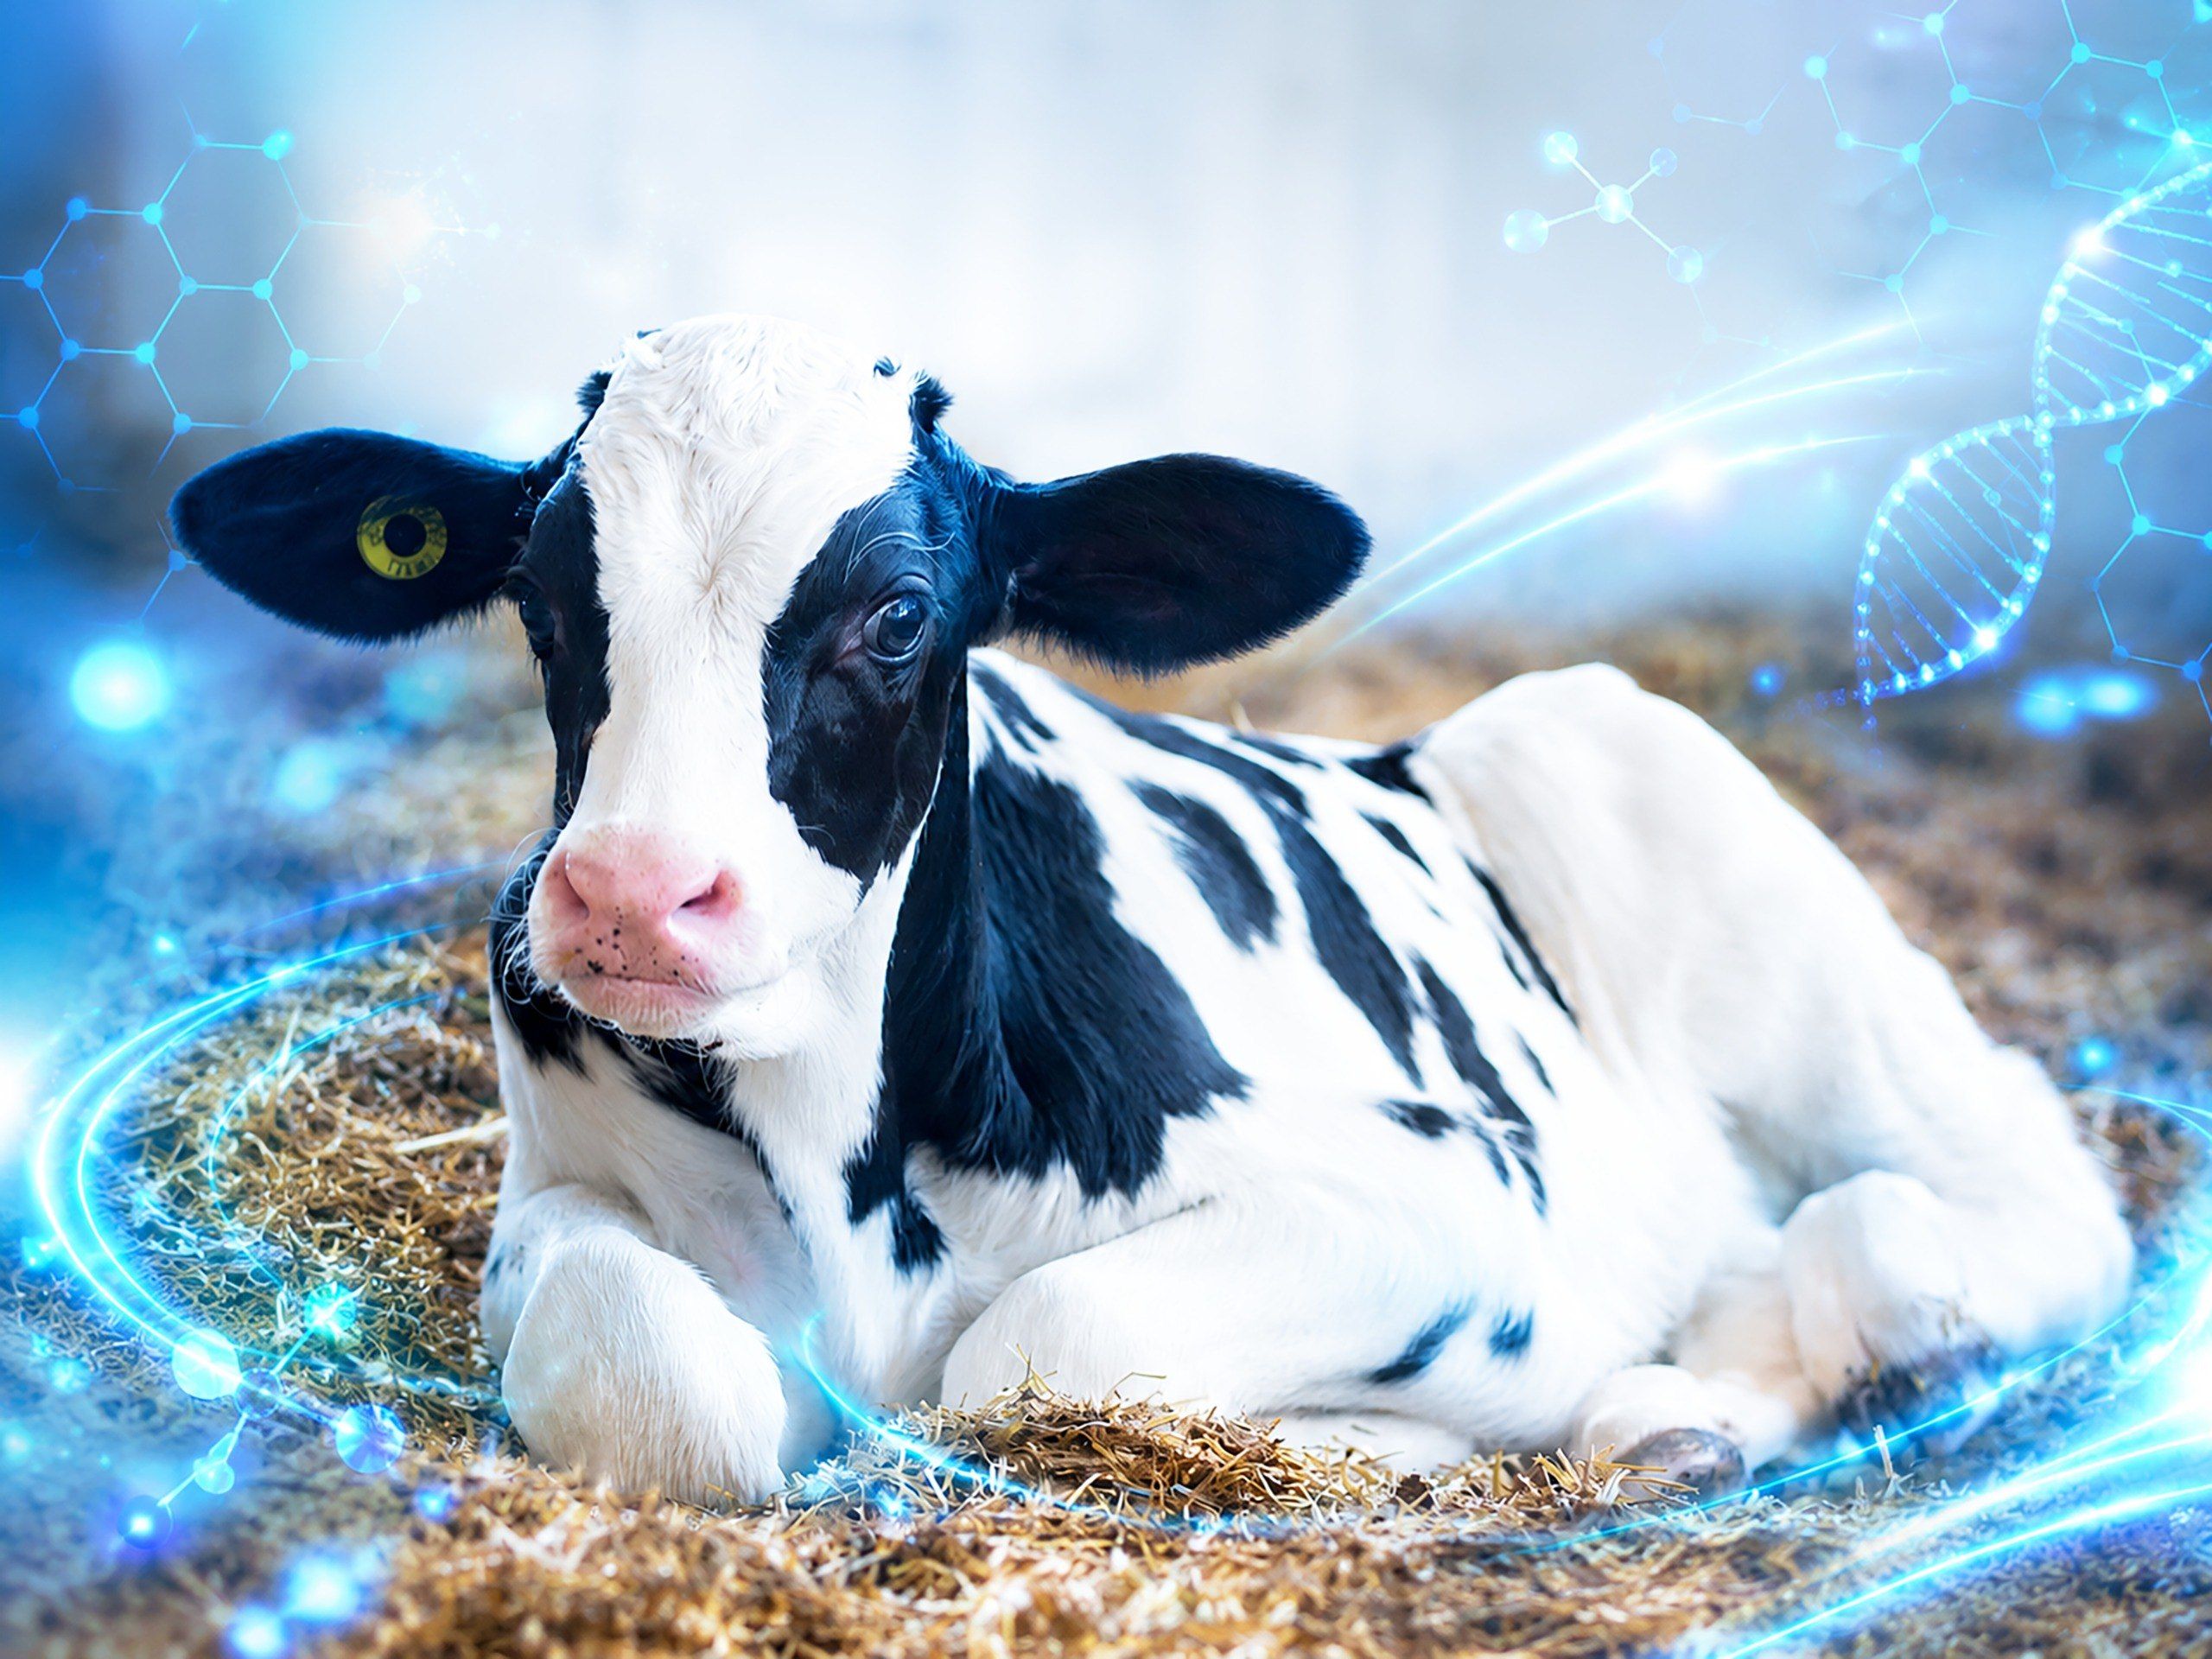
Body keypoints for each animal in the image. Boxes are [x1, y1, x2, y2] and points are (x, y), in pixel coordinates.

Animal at [170, 314, 2133, 1507]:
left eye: (898, 616)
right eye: (543, 601)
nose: (632, 893)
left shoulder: (1445, 1194)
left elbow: (1030, 1353)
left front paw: (1376, 1441)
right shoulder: (557, 1191)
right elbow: (667, 1380)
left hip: (1674, 825)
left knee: (2003, 1208)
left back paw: (1847, 1341)